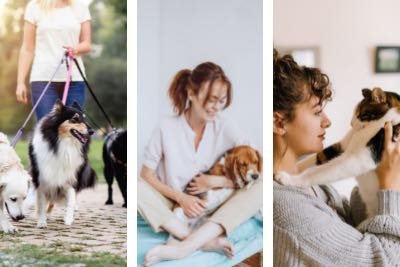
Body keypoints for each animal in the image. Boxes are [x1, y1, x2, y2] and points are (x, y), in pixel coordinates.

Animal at [276, 87, 400, 218]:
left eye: (361, 114)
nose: (351, 123)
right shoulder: (342, 146)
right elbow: (319, 155)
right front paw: (295, 167)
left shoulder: (359, 159)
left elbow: (317, 172)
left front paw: (288, 179)